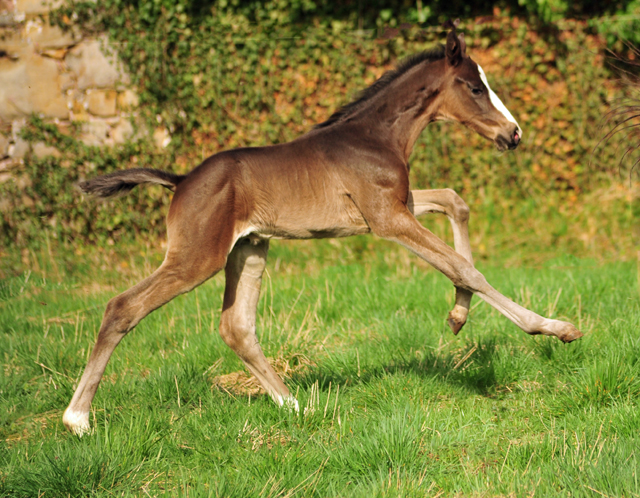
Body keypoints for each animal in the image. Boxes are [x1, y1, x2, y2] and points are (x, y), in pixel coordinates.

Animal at [62, 26, 584, 436]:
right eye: (474, 88)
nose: (513, 134)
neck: (376, 136)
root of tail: (182, 180)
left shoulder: (396, 207)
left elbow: (456, 202)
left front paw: (457, 317)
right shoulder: (387, 219)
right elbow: (462, 266)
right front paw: (554, 327)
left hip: (249, 250)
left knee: (236, 326)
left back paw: (295, 405)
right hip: (196, 257)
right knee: (122, 307)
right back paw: (77, 419)